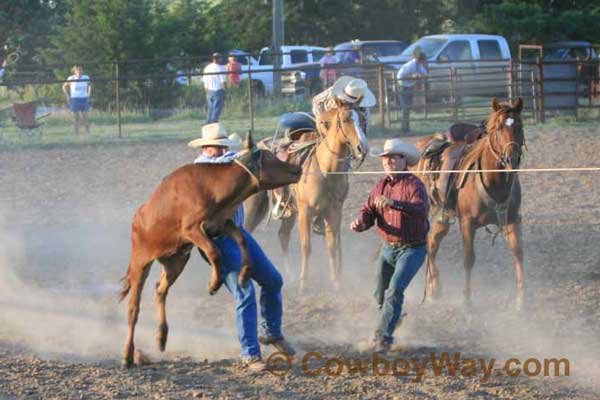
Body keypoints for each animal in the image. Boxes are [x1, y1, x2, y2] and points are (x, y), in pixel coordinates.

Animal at [119, 133, 302, 368]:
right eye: (270, 158)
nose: (298, 169)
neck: (211, 187)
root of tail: (138, 218)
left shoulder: (221, 224)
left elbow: (242, 239)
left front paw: (244, 273)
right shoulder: (192, 230)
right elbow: (214, 251)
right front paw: (213, 284)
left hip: (176, 261)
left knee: (161, 289)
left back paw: (161, 337)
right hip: (140, 263)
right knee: (133, 308)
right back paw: (127, 355)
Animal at [241, 103, 368, 290]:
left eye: (363, 119)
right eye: (345, 119)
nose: (362, 148)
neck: (326, 170)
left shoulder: (333, 211)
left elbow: (331, 246)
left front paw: (336, 282)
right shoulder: (305, 212)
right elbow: (306, 247)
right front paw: (304, 284)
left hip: (289, 212)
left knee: (283, 235)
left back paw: (289, 275)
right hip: (254, 206)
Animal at [418, 97, 524, 310]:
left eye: (519, 126)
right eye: (499, 127)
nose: (511, 159)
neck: (494, 181)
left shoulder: (512, 219)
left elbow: (518, 253)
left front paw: (521, 300)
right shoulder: (467, 222)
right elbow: (469, 258)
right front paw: (466, 300)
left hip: (444, 214)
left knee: (433, 241)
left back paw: (434, 287)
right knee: (428, 242)